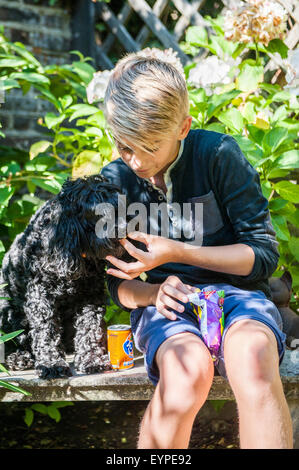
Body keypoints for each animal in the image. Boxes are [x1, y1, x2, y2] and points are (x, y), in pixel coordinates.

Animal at [0, 174, 127, 380]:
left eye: (121, 209)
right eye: (100, 213)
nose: (125, 228)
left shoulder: (91, 295)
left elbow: (89, 327)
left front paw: (91, 360)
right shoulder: (40, 296)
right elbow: (46, 331)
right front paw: (51, 365)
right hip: (7, 310)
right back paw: (19, 357)